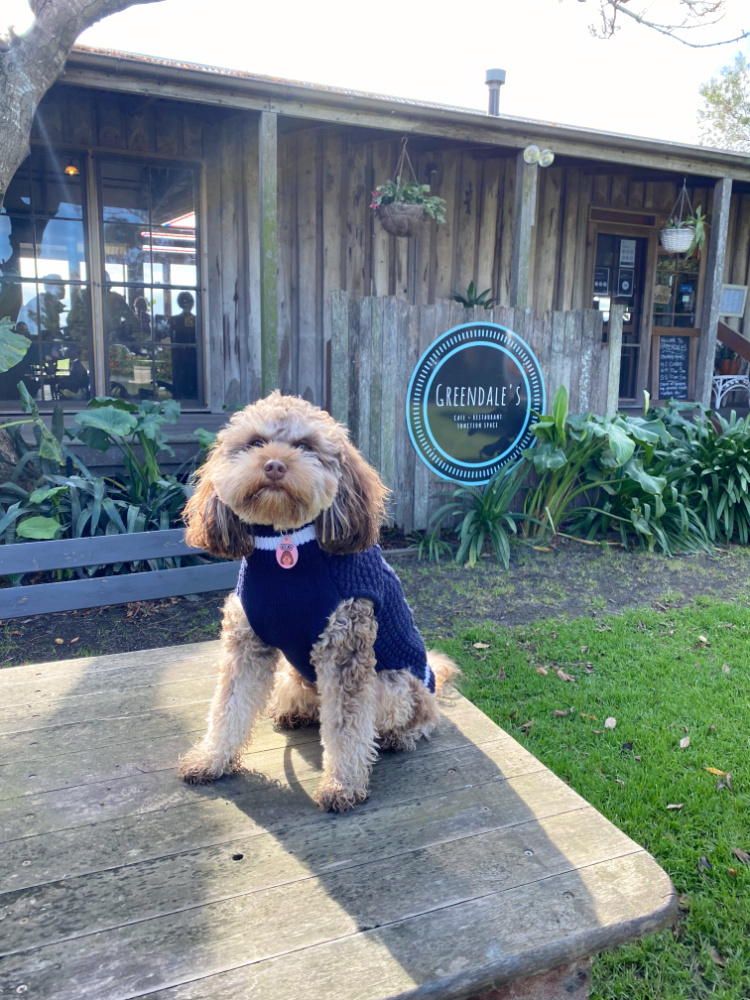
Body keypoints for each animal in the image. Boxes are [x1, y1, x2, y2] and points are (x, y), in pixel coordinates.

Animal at [179, 390, 458, 812]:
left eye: (305, 446)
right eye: (255, 442)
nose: (274, 465)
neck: (285, 545)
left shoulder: (345, 648)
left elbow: (347, 727)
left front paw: (342, 784)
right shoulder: (246, 644)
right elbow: (228, 707)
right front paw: (211, 760)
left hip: (394, 684)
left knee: (420, 719)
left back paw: (400, 736)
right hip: (296, 673)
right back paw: (293, 712)